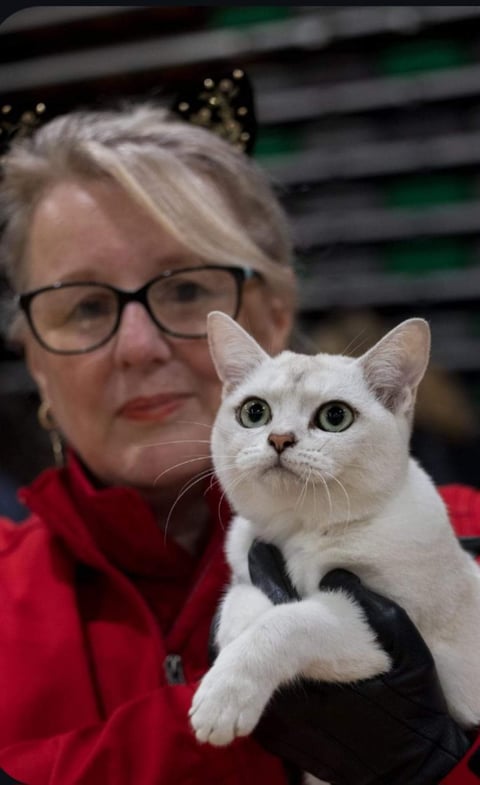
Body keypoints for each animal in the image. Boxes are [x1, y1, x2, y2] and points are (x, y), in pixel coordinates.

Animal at [189, 308, 480, 776]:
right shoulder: (249, 560)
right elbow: (242, 598)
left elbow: (294, 621)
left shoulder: (387, 634)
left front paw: (224, 696)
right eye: (254, 412)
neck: (303, 532)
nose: (279, 438)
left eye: (335, 417)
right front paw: (233, 636)